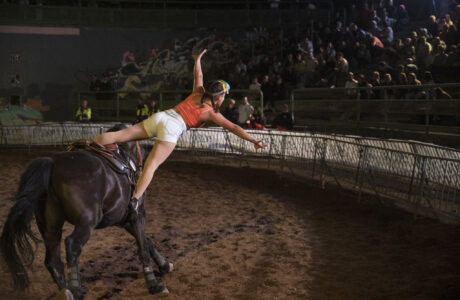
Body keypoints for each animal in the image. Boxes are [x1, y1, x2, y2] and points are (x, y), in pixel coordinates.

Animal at [0, 124, 172, 298]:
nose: (140, 168)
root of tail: (53, 163)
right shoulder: (137, 214)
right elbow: (142, 247)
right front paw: (154, 285)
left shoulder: (123, 219)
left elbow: (146, 241)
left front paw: (165, 265)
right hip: (87, 222)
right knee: (72, 245)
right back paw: (75, 290)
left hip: (49, 226)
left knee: (52, 260)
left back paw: (65, 291)